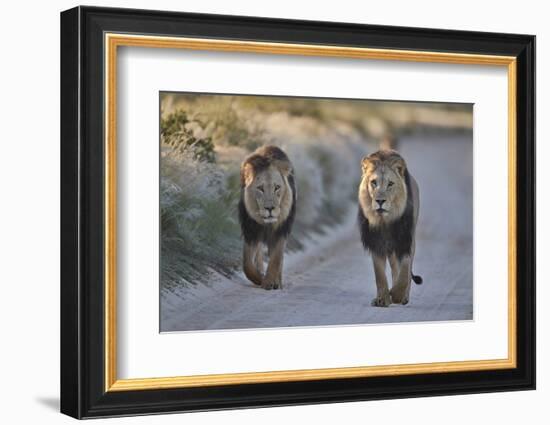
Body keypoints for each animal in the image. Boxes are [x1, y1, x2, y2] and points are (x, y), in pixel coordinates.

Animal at [238, 145, 298, 288]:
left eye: (277, 187)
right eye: (260, 188)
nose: (270, 208)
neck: (267, 223)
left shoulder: (281, 230)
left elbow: (276, 259)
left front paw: (270, 281)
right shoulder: (251, 231)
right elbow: (247, 264)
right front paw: (260, 279)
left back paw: (278, 282)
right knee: (258, 255)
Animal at [360, 149, 424, 304]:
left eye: (390, 184)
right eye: (373, 182)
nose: (380, 201)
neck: (385, 220)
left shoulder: (405, 239)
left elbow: (405, 268)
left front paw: (397, 294)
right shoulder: (376, 242)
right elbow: (379, 274)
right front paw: (382, 299)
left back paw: (403, 297)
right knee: (394, 267)